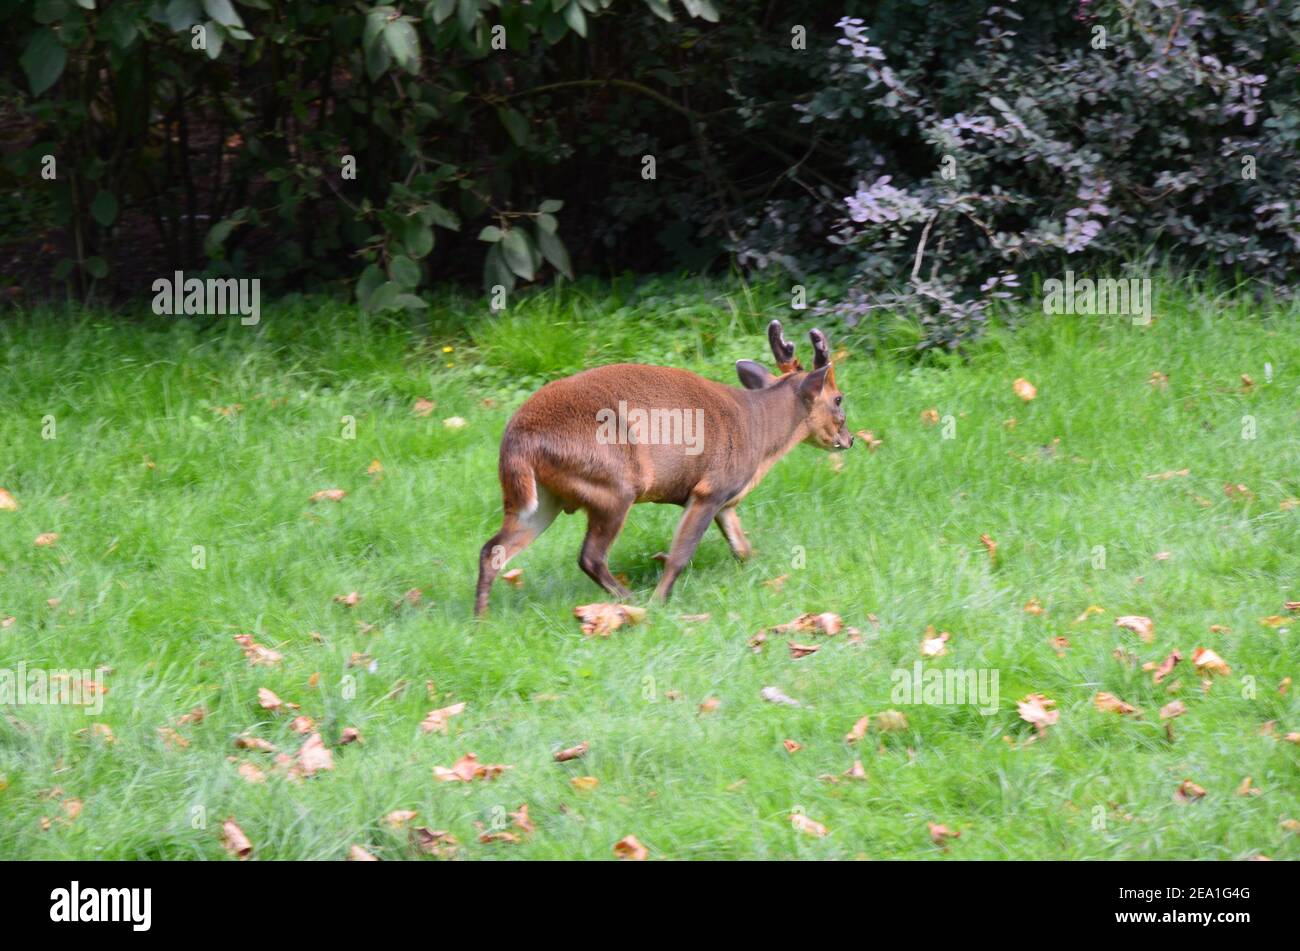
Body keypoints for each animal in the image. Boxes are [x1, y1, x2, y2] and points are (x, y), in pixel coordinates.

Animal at [478, 320, 852, 615]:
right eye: (839, 399)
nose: (849, 440)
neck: (759, 429)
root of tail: (516, 443)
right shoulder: (709, 489)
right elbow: (679, 555)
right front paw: (660, 602)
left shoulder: (725, 502)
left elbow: (743, 549)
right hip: (613, 484)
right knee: (590, 556)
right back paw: (633, 603)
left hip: (542, 498)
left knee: (492, 549)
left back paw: (480, 622)